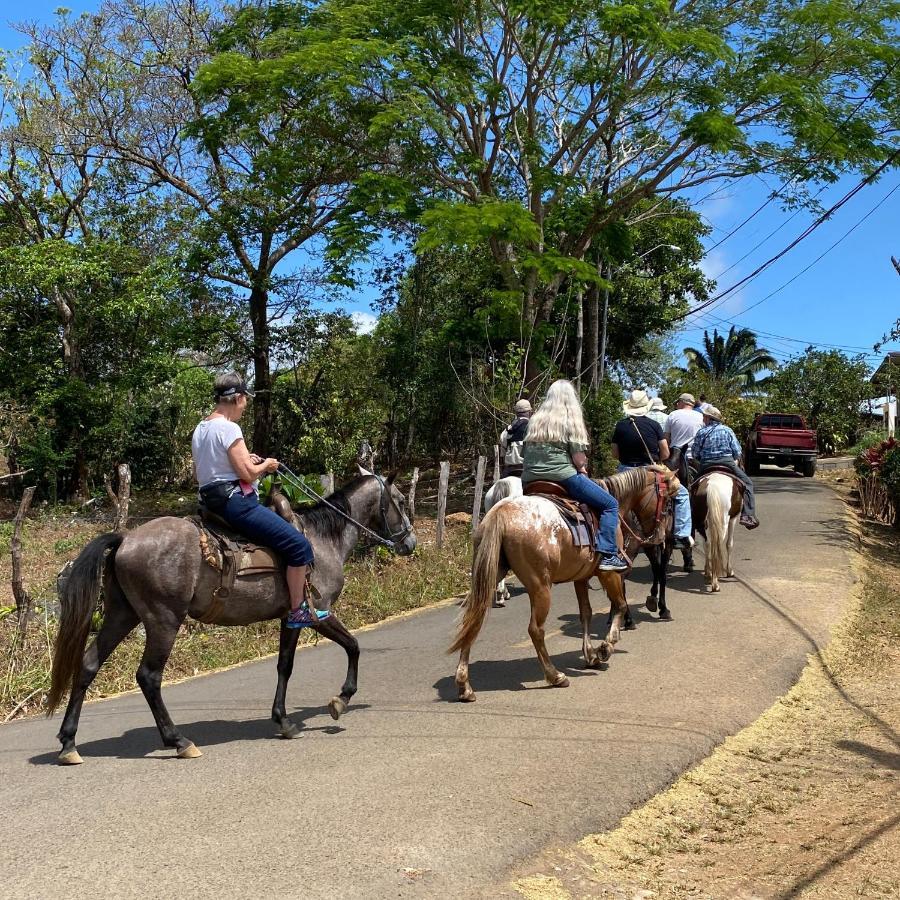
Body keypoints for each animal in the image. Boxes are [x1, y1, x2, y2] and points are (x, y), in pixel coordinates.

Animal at [47, 472, 416, 768]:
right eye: (399, 501)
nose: (410, 542)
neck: (323, 540)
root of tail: (126, 538)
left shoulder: (290, 619)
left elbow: (285, 665)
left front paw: (283, 721)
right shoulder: (317, 613)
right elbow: (353, 646)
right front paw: (341, 699)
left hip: (122, 614)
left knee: (89, 664)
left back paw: (68, 743)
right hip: (163, 620)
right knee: (149, 676)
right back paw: (179, 741)